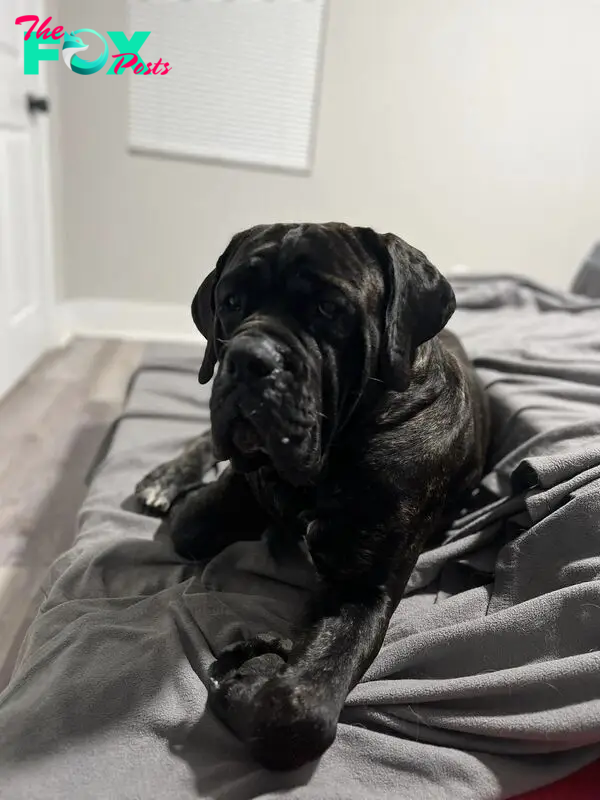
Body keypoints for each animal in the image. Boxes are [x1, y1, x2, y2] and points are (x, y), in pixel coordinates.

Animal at [135, 222, 488, 772]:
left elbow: (299, 714)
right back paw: (167, 476)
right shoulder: (218, 501)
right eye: (231, 301)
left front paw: (254, 675)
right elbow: (197, 520)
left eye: (327, 309)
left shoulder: (362, 590)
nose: (247, 358)